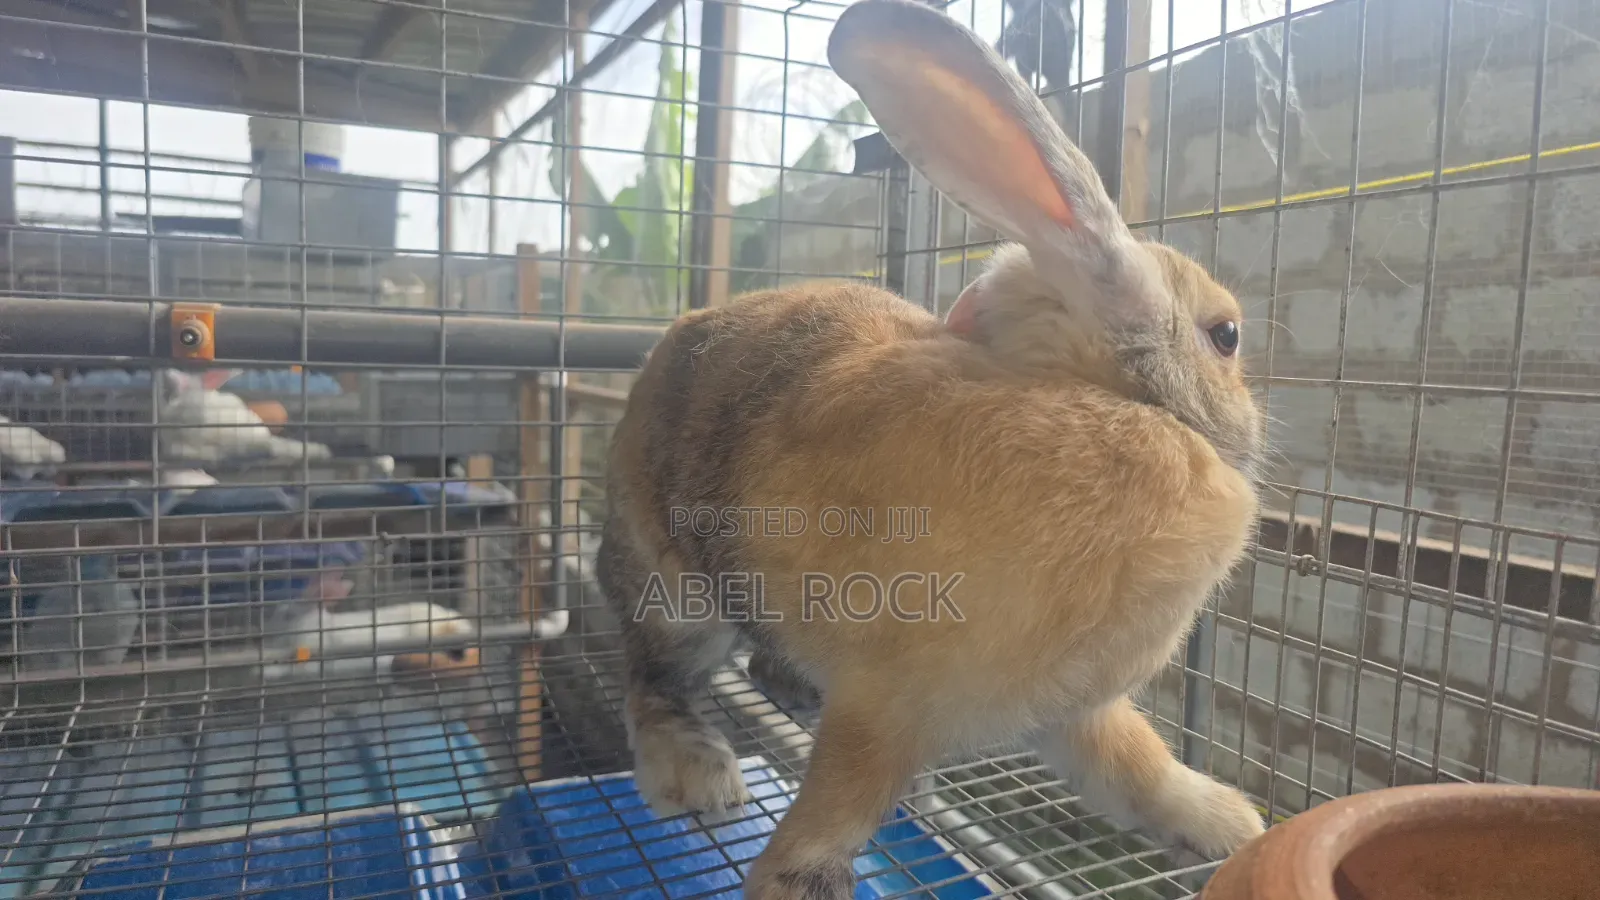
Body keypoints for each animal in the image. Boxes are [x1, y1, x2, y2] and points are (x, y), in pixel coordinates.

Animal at [593, 2, 1268, 898]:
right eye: (1226, 336)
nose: (1255, 429)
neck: (1104, 397)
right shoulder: (886, 706)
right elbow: (834, 812)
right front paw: (795, 881)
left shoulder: (1077, 708)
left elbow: (1137, 766)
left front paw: (1229, 825)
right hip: (678, 599)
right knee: (654, 679)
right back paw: (695, 771)